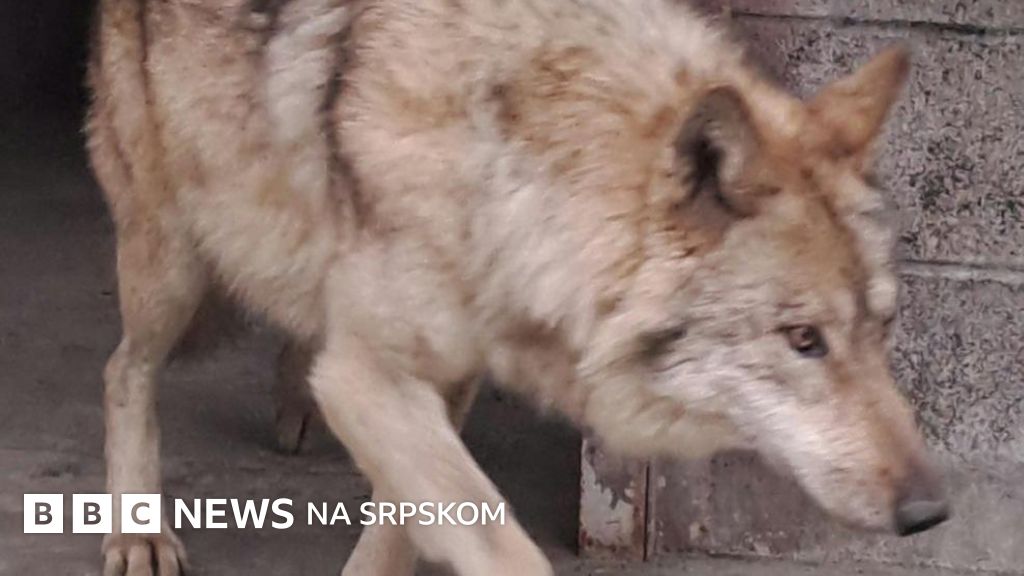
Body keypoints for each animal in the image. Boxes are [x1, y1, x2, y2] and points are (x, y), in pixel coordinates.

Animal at [86, 0, 949, 574]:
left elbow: (404, 523)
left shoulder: (444, 379)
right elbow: (496, 540)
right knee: (124, 371)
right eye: (803, 341)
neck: (511, 166)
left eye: (883, 330)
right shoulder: (373, 378)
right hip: (172, 258)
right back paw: (137, 536)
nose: (929, 511)